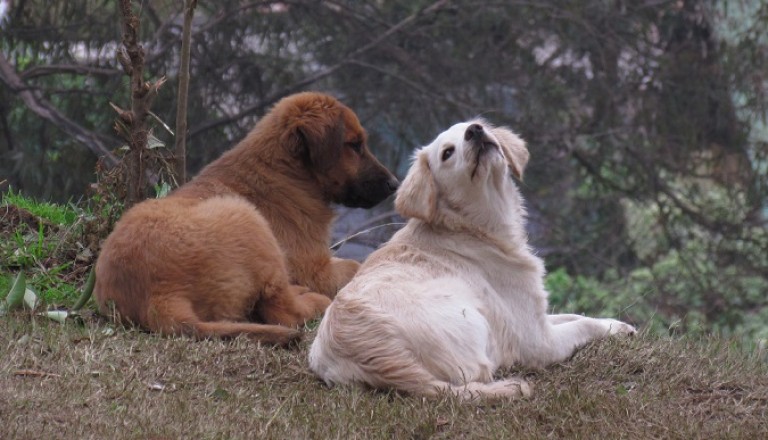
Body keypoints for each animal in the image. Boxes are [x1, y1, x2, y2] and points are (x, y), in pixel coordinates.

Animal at [93, 93, 400, 346]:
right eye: (355, 145)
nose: (394, 185)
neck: (286, 172)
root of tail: (158, 296)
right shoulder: (315, 270)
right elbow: (355, 266)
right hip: (248, 219)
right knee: (284, 311)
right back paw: (311, 300)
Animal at [306, 119, 636, 398]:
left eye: (472, 125)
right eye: (447, 152)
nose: (475, 131)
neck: (472, 228)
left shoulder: (532, 317)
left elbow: (576, 315)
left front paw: (619, 325)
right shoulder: (538, 341)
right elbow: (583, 326)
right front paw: (615, 330)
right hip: (473, 324)